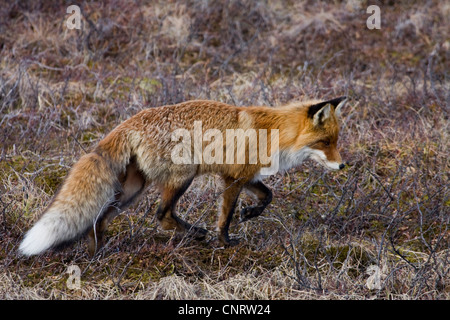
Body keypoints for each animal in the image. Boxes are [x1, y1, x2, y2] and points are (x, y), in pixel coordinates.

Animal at [18, 96, 348, 256]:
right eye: (325, 142)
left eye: (336, 141)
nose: (343, 166)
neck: (273, 132)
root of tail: (128, 122)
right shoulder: (233, 179)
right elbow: (225, 217)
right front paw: (226, 243)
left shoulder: (246, 176)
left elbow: (268, 196)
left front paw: (251, 213)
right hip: (182, 176)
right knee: (162, 214)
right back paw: (194, 234)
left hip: (131, 190)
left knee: (98, 218)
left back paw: (96, 252)